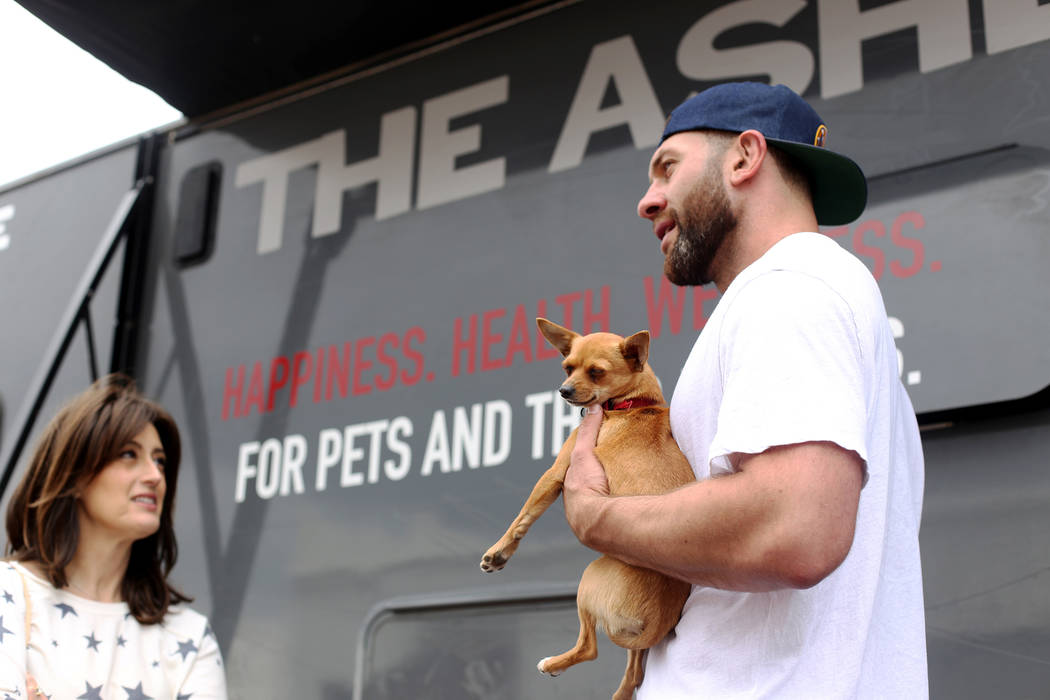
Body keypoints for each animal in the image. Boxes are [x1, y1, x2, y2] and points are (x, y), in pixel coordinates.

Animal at [480, 319, 692, 700]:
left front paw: (498, 553)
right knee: (635, 671)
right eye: (567, 367)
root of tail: (656, 624)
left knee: (590, 648)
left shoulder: (556, 472)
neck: (632, 404)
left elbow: (523, 516)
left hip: (589, 579)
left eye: (596, 372)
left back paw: (552, 663)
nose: (563, 390)